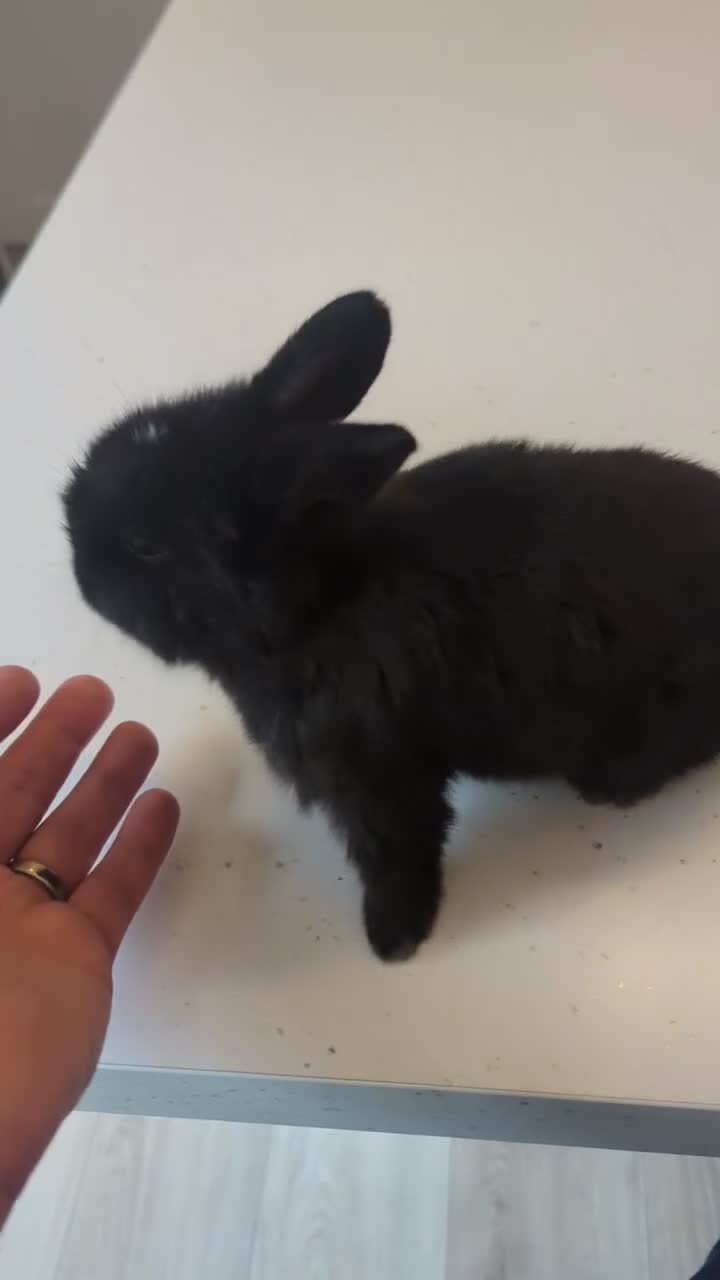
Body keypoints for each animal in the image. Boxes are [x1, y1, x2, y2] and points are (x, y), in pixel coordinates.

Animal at [63, 290, 720, 961]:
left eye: (146, 546)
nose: (80, 569)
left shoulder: (379, 777)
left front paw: (394, 937)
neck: (322, 601)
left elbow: (398, 853)